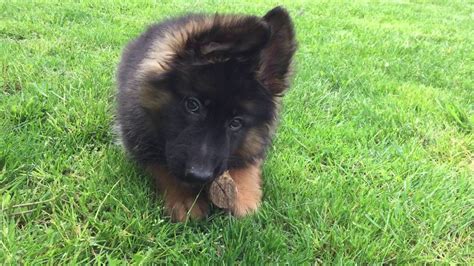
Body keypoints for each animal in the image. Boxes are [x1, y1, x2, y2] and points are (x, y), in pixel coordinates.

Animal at [116, 6, 296, 222]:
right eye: (193, 105)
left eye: (236, 122)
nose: (199, 176)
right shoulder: (137, 138)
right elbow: (162, 167)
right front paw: (185, 198)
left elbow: (248, 163)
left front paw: (244, 196)